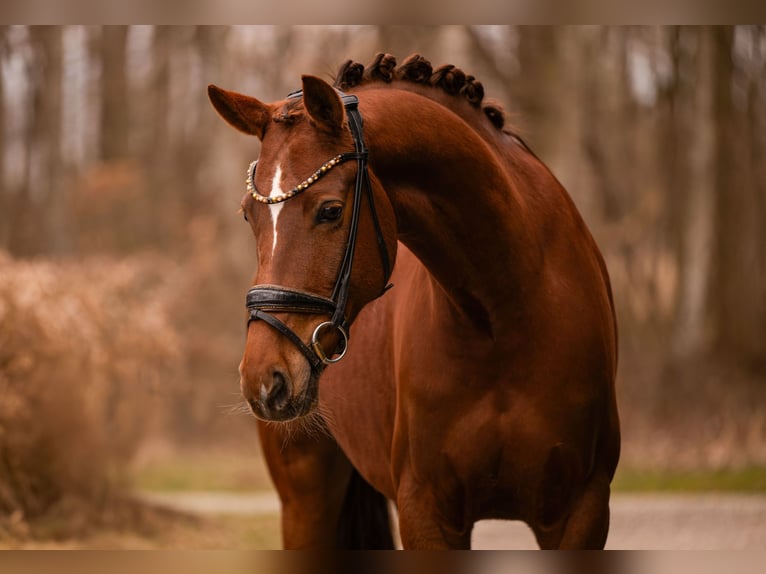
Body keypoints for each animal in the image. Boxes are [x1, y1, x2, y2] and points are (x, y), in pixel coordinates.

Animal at [208, 53, 620, 549]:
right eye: (247, 216)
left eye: (330, 210)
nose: (264, 380)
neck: (504, 313)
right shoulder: (426, 510)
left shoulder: (582, 509)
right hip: (304, 500)